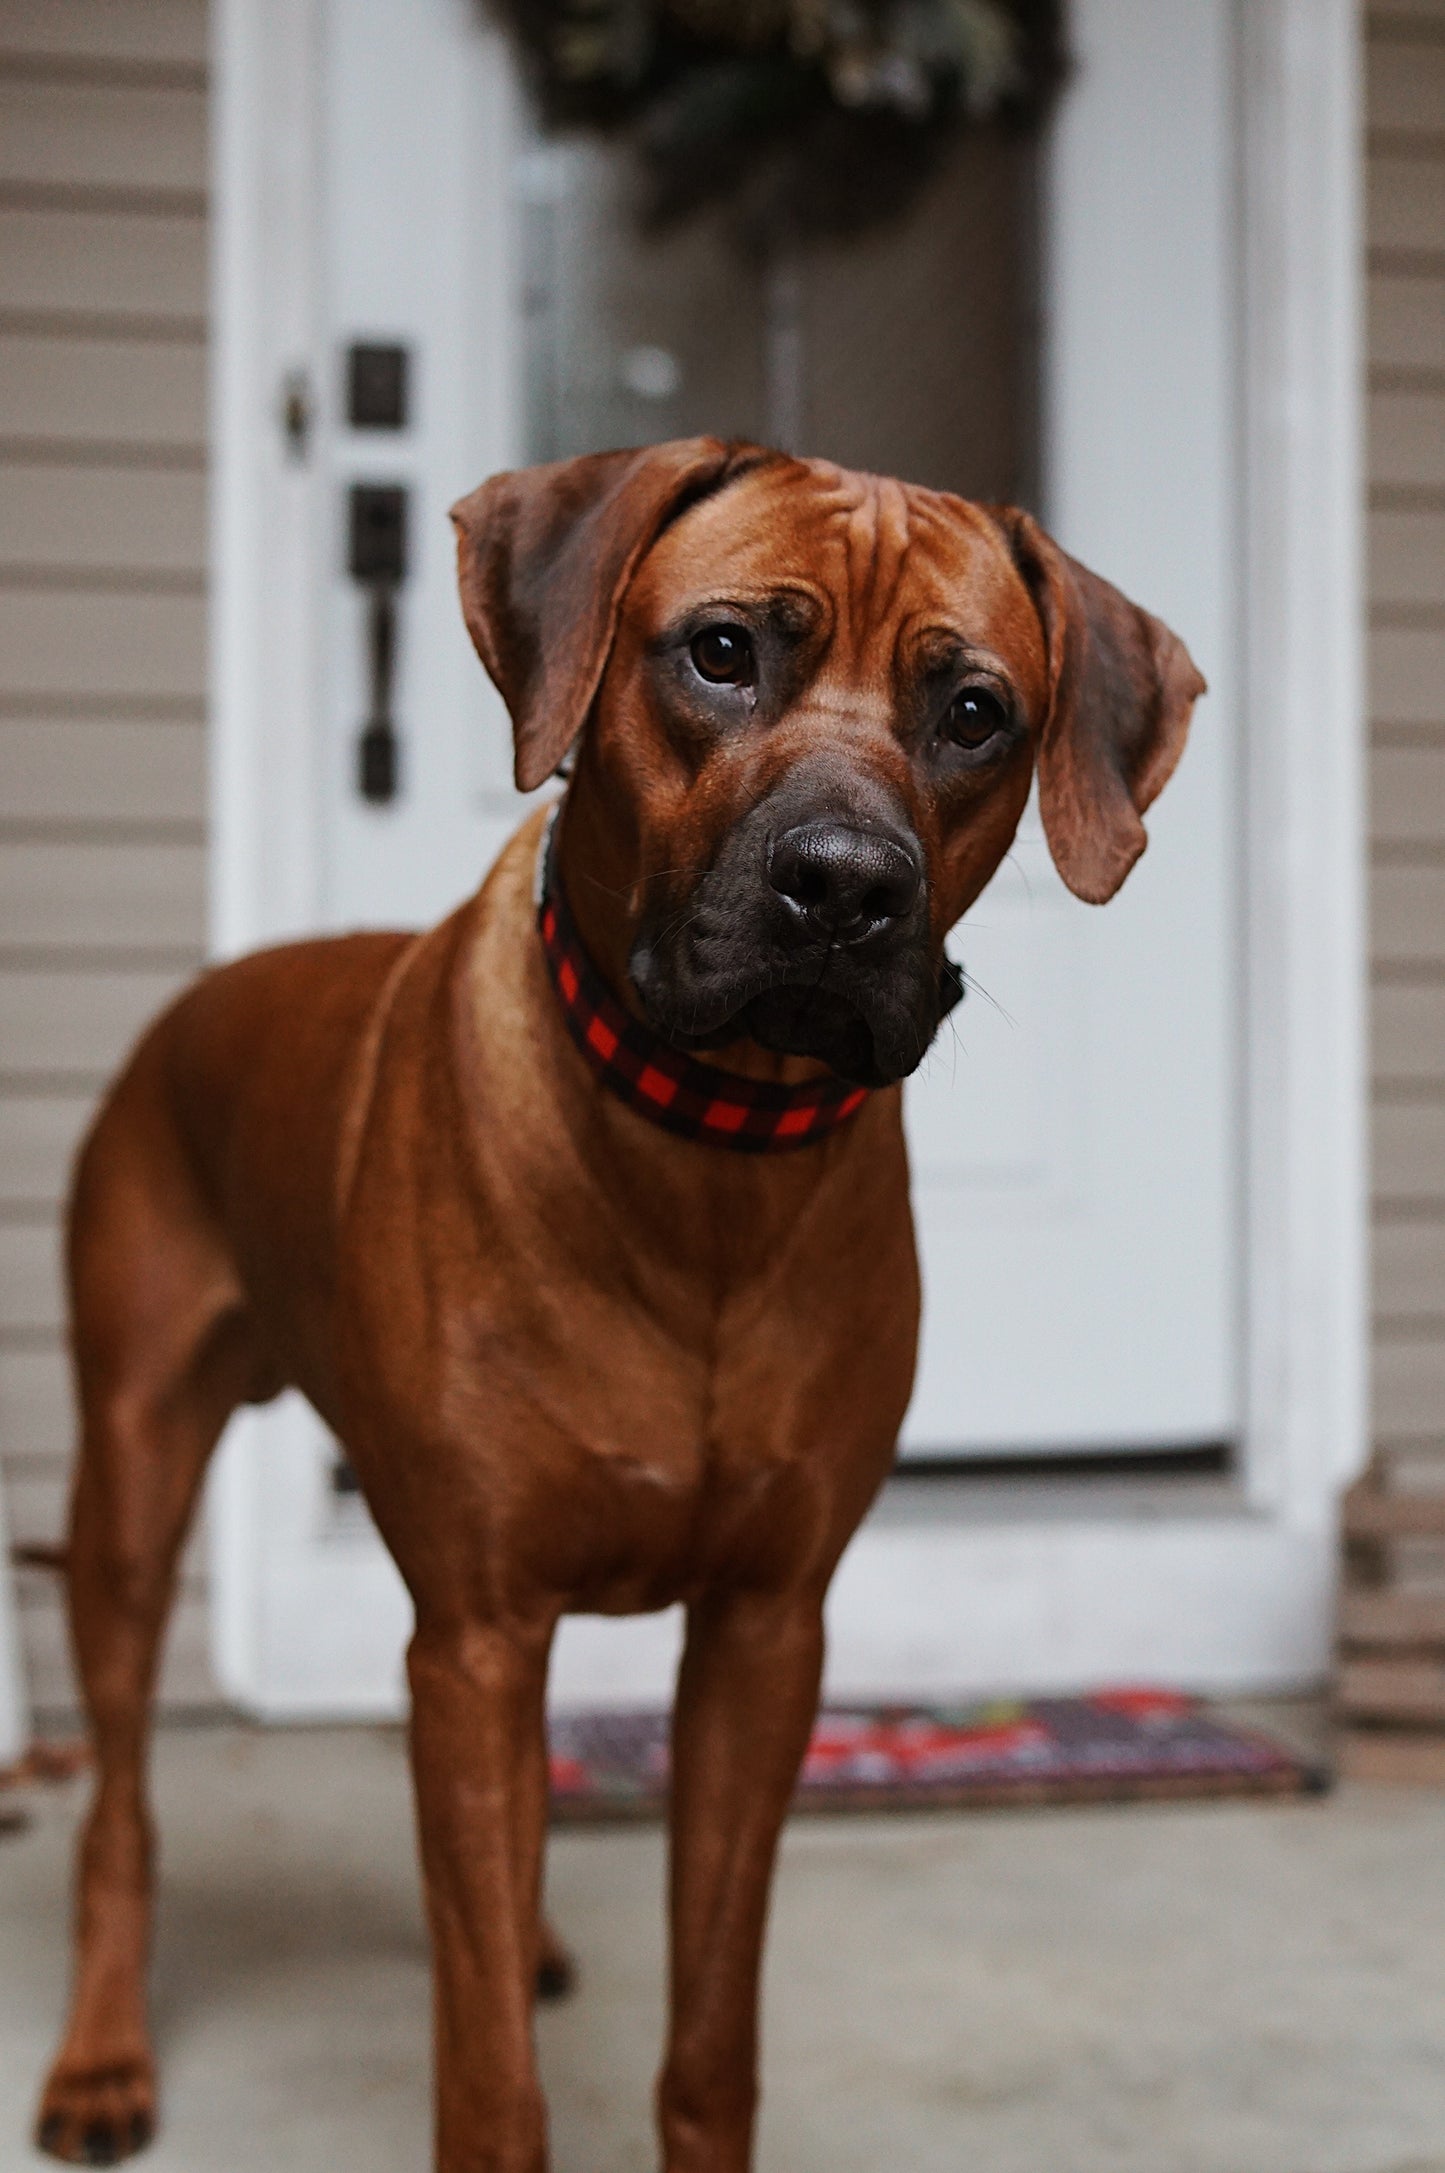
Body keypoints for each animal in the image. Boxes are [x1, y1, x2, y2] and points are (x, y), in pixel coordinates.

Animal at [39, 432, 1199, 2164]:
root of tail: (201, 997)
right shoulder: (477, 1629)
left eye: (975, 712)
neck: (704, 1155)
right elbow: (488, 2076)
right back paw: (104, 2053)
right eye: (719, 651)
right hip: (132, 1483)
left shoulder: (763, 1637)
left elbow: (708, 2033)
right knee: (120, 1807)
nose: (844, 888)